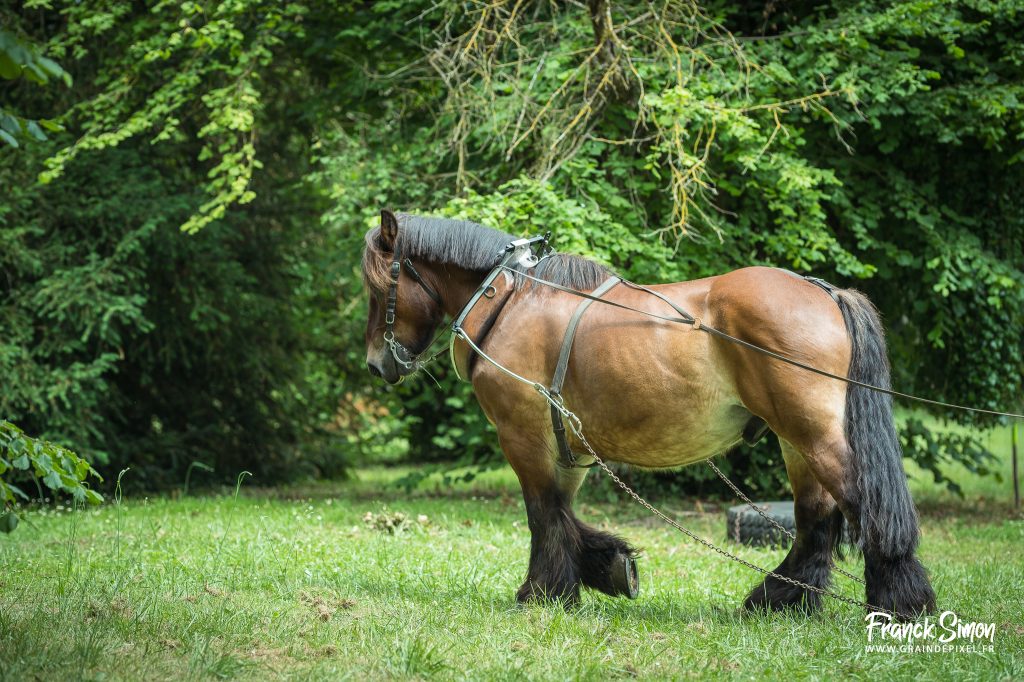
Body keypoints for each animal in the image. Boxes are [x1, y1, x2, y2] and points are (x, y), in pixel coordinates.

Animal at [361, 209, 936, 619]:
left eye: (377, 288)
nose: (376, 364)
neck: (510, 300)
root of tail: (827, 292)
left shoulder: (522, 434)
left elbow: (543, 512)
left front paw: (543, 592)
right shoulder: (568, 444)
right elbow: (563, 514)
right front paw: (604, 569)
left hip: (812, 432)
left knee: (867, 507)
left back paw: (901, 604)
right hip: (797, 439)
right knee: (816, 520)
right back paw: (779, 601)